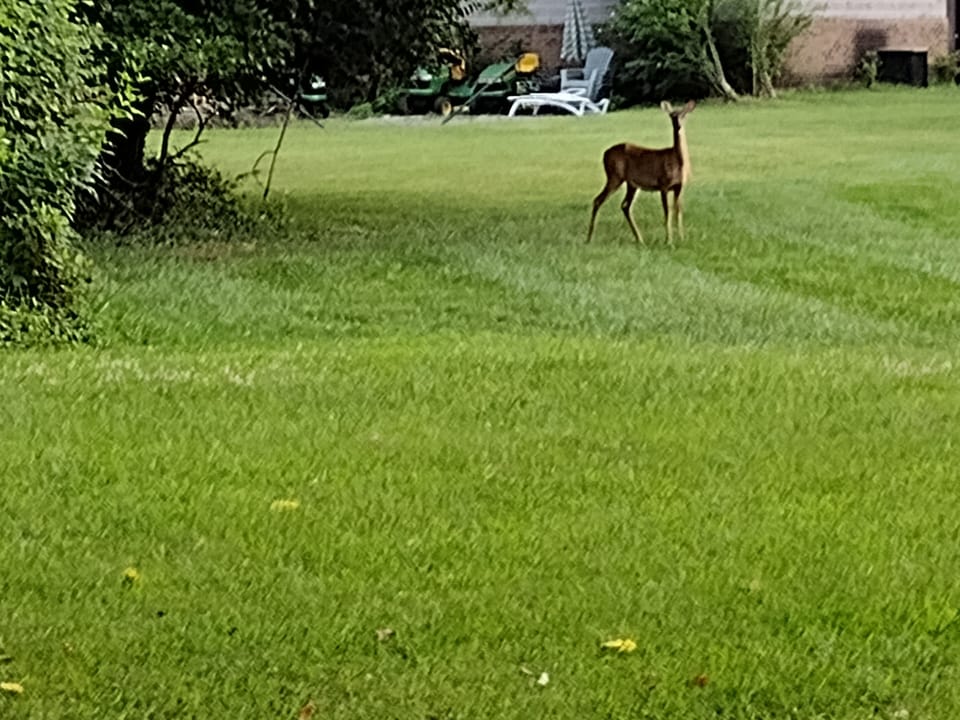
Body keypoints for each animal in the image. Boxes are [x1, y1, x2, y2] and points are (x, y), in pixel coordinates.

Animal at [586, 100, 696, 246]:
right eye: (672, 116)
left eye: (684, 115)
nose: (678, 126)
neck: (678, 162)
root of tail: (605, 153)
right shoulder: (663, 184)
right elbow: (667, 211)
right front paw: (668, 241)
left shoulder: (679, 186)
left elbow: (678, 211)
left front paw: (682, 238)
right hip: (614, 176)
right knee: (598, 200)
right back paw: (589, 238)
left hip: (631, 184)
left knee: (625, 205)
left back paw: (640, 239)